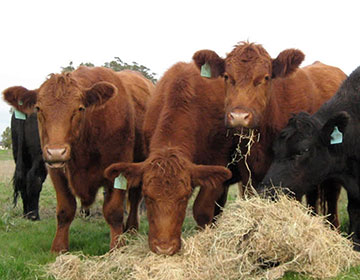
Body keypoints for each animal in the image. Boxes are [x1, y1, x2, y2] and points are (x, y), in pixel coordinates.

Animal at [3, 66, 155, 253]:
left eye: (80, 108)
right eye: (38, 108)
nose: (56, 152)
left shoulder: (118, 168)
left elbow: (114, 211)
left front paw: (117, 246)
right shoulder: (56, 172)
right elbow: (65, 210)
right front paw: (59, 247)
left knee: (134, 197)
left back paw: (131, 229)